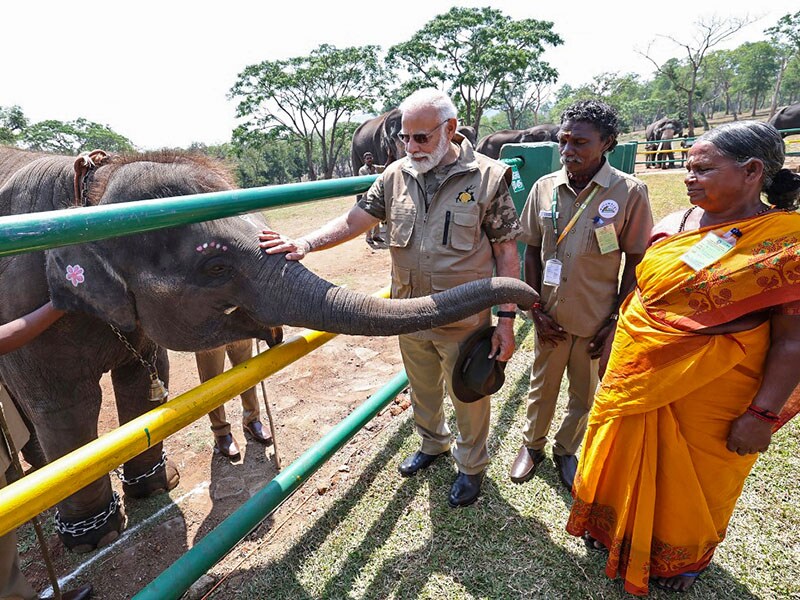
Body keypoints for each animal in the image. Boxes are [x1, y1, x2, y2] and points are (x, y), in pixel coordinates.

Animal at [1, 145, 536, 552]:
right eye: (215, 267)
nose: (529, 297)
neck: (88, 198)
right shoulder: (24, 307)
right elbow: (66, 404)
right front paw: (97, 537)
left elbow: (144, 379)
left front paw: (159, 484)